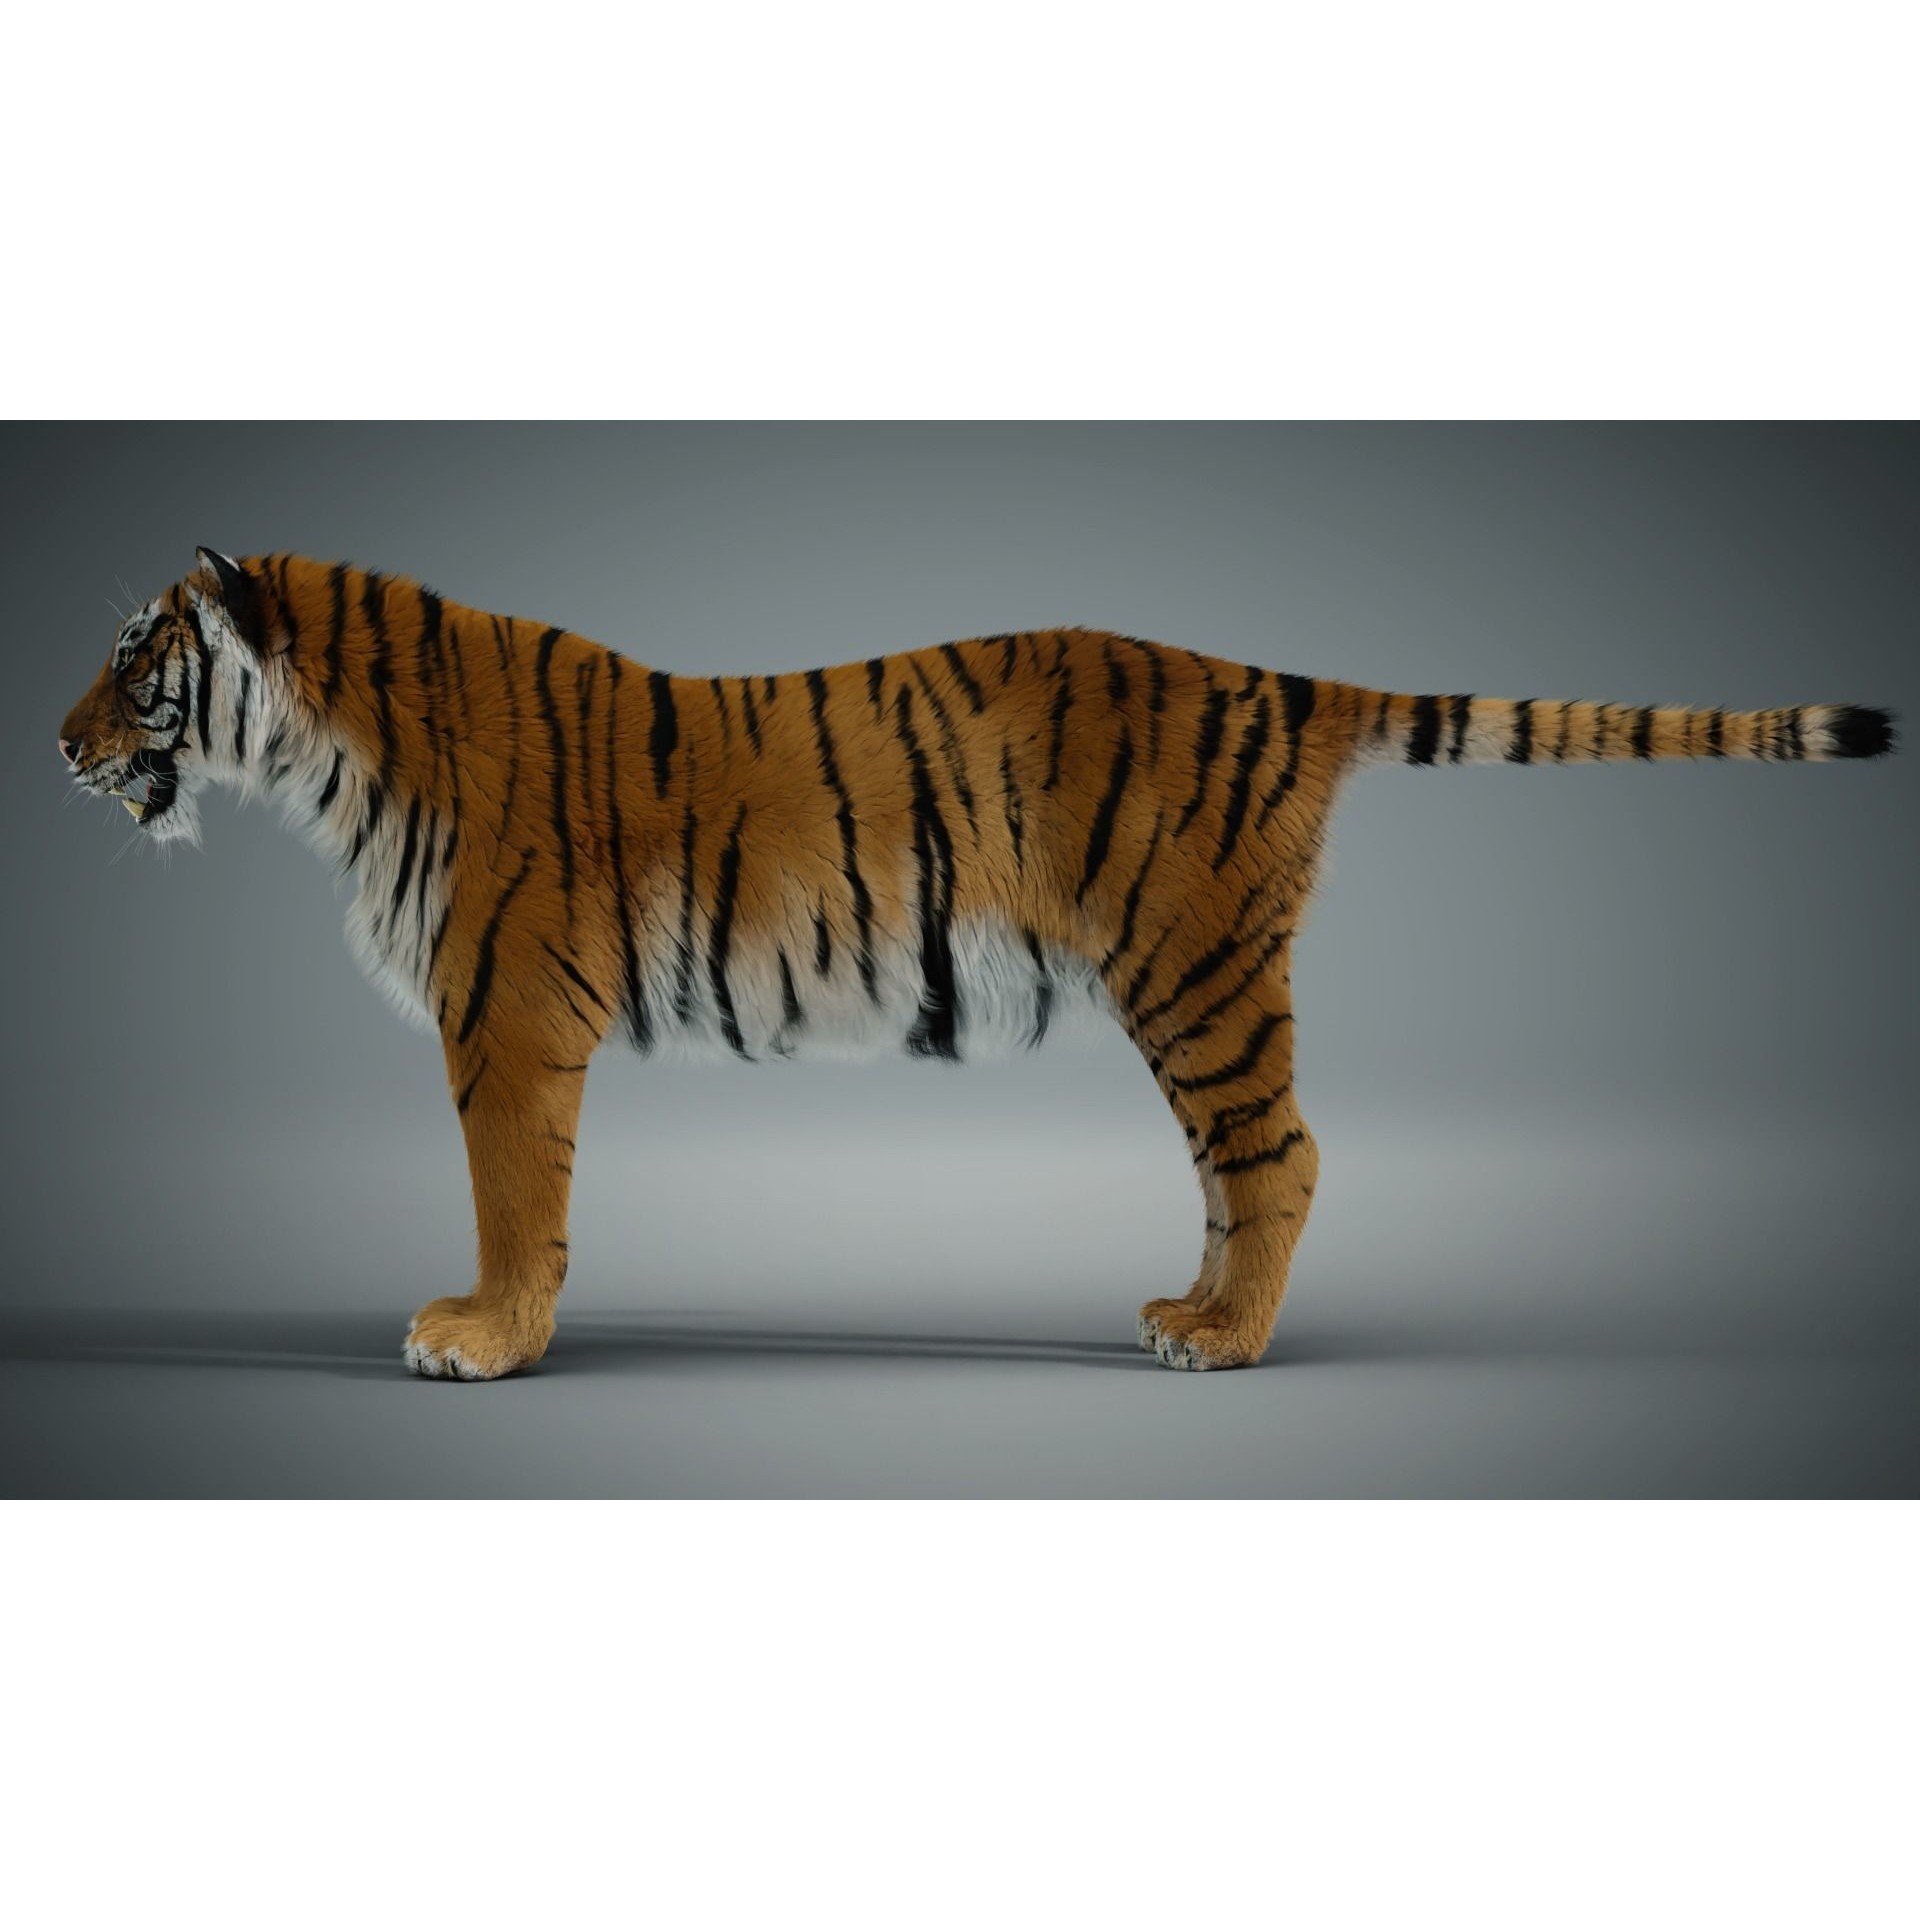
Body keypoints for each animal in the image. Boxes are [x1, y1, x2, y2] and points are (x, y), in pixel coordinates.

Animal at [57, 548, 1896, 1379]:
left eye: (138, 656)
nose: (57, 741)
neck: (324, 759)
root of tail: (1282, 680)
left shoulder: (503, 1022)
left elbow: (519, 1200)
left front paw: (481, 1338)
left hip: (1198, 969)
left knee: (1283, 1154)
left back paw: (1224, 1344)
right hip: (1195, 985)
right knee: (1239, 1167)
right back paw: (1189, 1312)